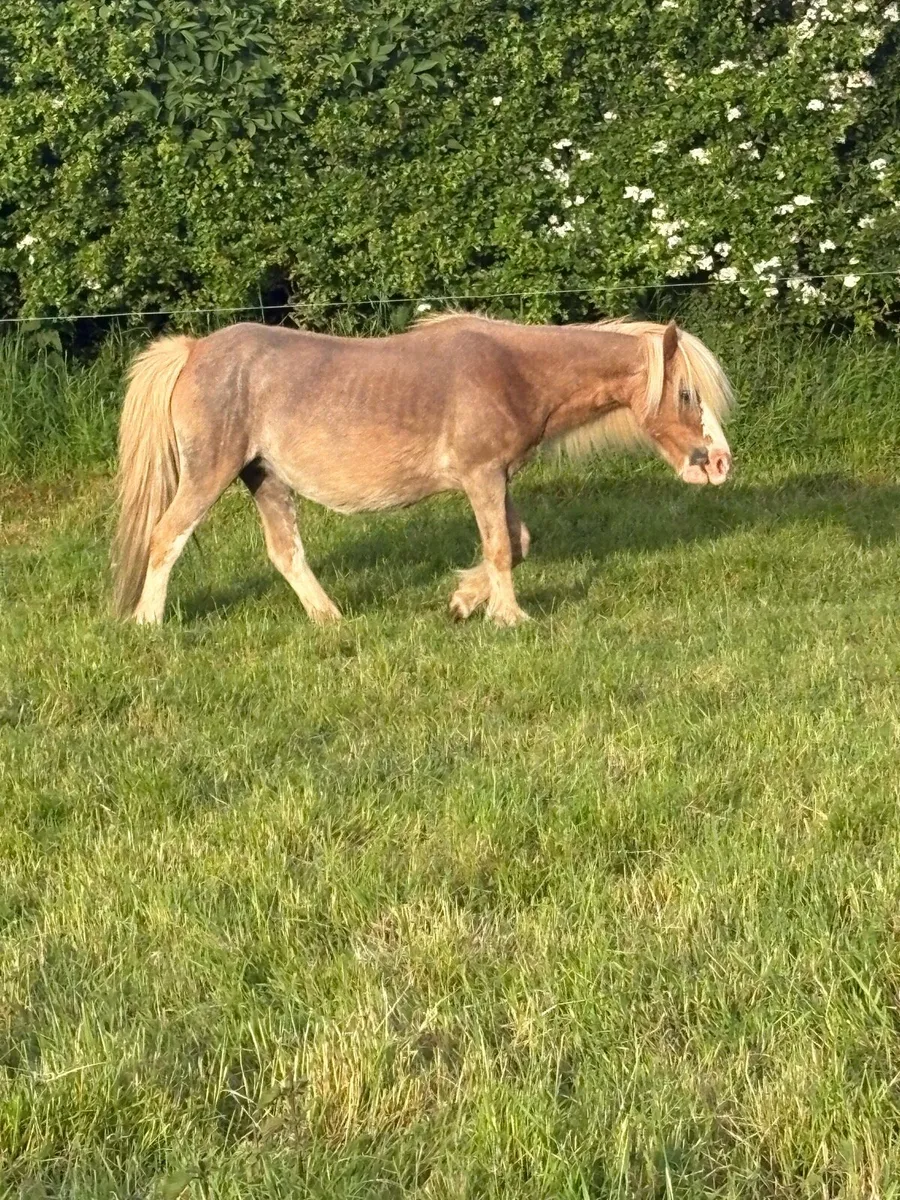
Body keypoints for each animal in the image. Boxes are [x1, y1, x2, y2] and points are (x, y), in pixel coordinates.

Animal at [112, 313, 733, 626]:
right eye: (685, 393)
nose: (721, 463)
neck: (514, 370)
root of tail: (193, 351)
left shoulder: (498, 476)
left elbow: (517, 542)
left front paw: (463, 602)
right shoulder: (482, 476)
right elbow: (501, 549)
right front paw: (510, 618)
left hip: (264, 477)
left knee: (286, 553)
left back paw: (331, 619)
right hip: (209, 473)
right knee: (166, 537)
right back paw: (148, 624)